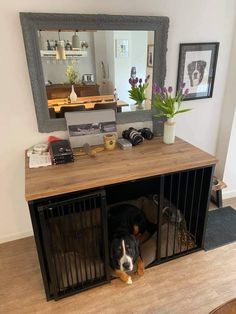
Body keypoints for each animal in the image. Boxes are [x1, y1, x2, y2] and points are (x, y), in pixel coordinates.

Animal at [36, 167, 212, 300]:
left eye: (130, 249)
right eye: (117, 251)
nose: (127, 265)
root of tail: (139, 209)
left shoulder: (136, 250)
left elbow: (140, 258)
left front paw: (140, 269)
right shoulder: (106, 256)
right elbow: (116, 269)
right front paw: (126, 278)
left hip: (136, 222)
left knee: (143, 232)